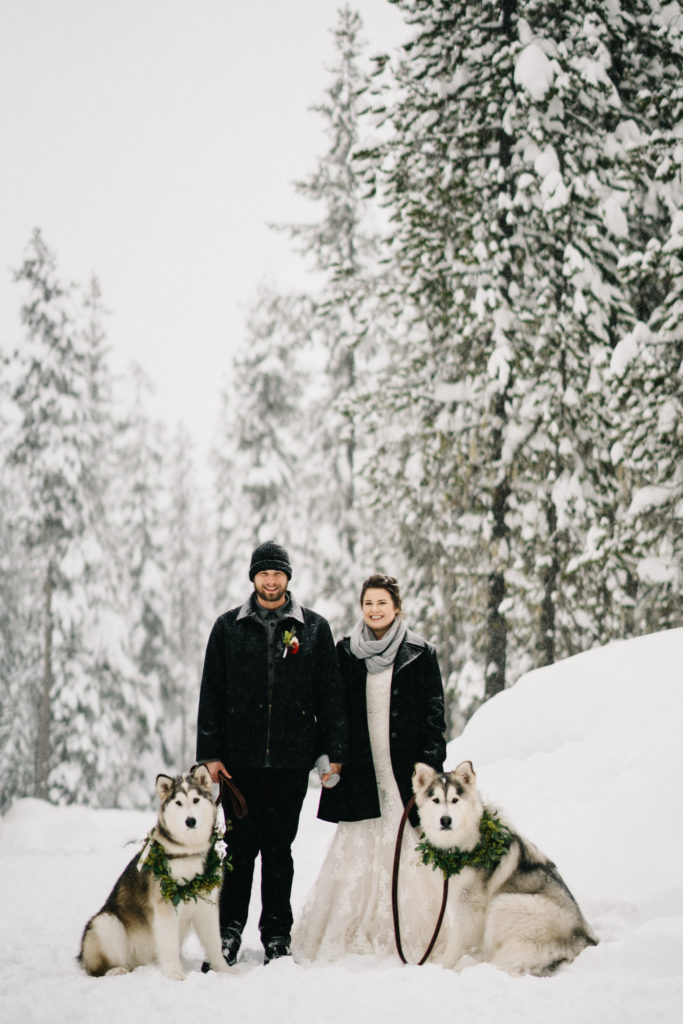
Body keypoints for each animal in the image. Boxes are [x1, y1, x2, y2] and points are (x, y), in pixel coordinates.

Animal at [78, 765, 231, 978]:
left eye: (195, 800)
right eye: (178, 802)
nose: (190, 821)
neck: (188, 851)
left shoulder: (206, 905)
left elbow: (215, 944)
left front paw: (226, 971)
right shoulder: (165, 906)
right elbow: (169, 945)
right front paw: (175, 974)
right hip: (106, 923)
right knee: (97, 968)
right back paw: (115, 970)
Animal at [411, 761, 598, 974]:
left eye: (455, 800)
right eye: (435, 800)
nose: (445, 820)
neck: (459, 845)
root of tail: (583, 939)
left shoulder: (469, 906)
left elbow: (456, 943)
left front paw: (443, 967)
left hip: (504, 903)